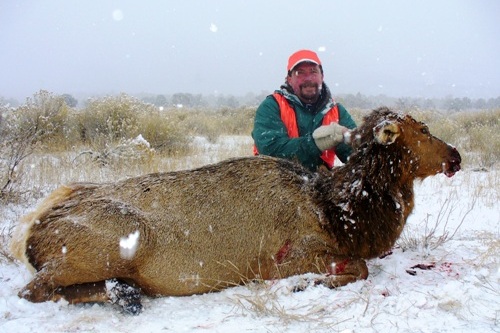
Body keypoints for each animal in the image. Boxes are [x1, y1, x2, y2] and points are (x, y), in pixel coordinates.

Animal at [9, 106, 460, 312]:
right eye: (423, 129)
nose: (456, 155)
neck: (341, 216)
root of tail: (28, 233)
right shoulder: (285, 257)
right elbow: (360, 268)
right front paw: (304, 286)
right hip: (114, 242)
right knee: (33, 290)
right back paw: (126, 293)